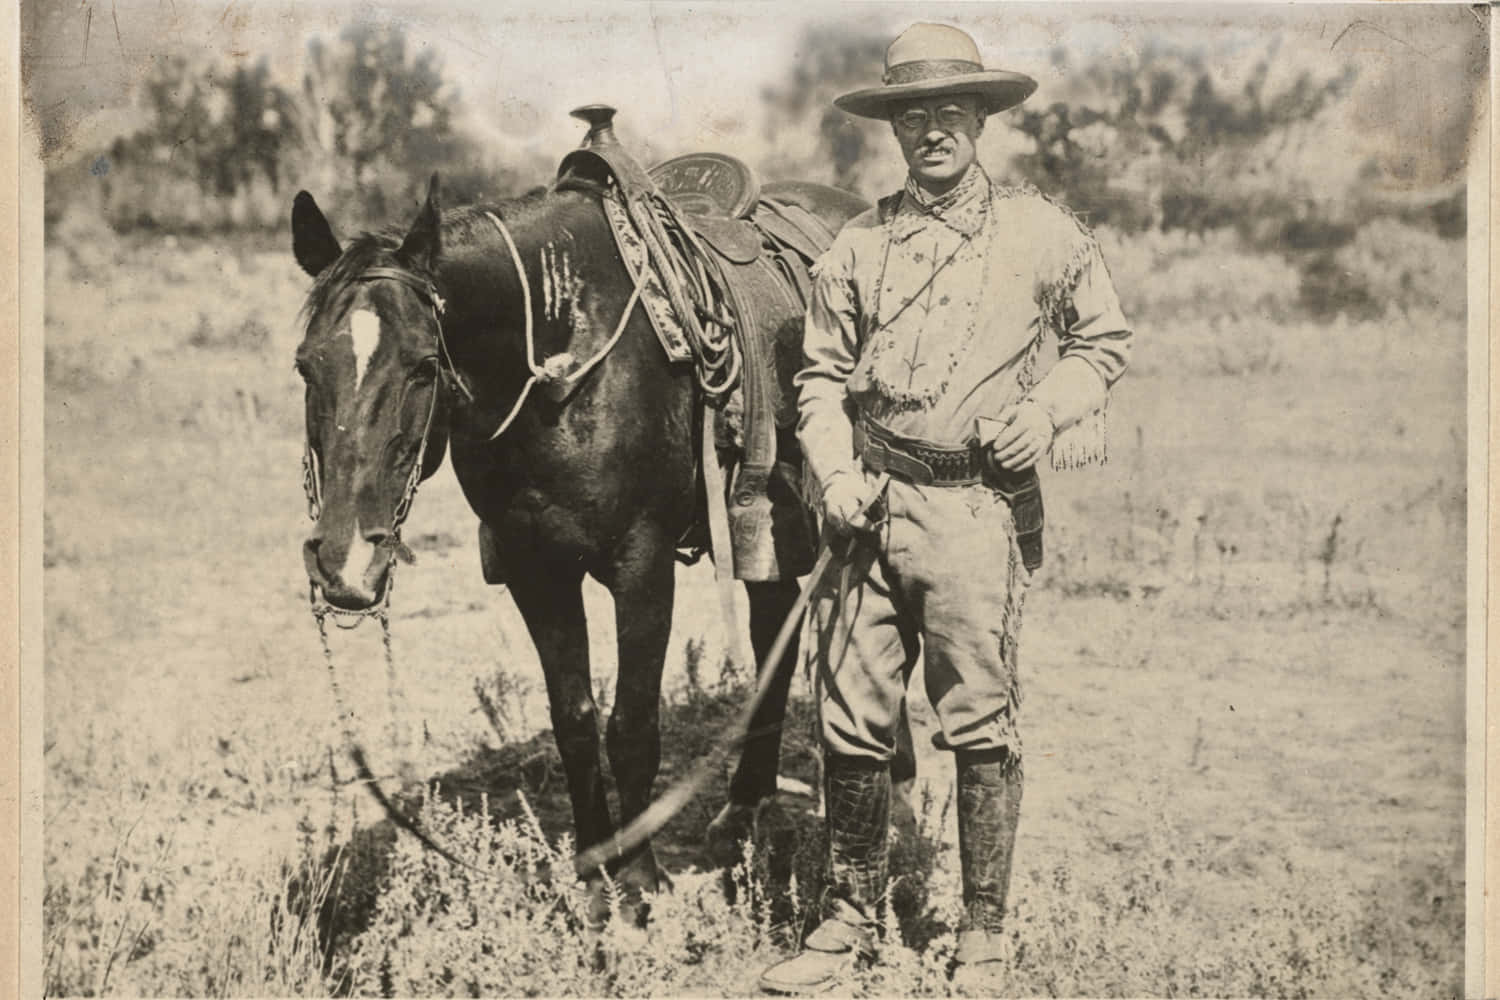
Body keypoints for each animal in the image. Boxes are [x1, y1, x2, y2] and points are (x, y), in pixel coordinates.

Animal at [291, 160, 875, 921]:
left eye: (422, 365)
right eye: (305, 366)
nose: (346, 564)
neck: (558, 356)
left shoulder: (642, 565)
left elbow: (631, 725)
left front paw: (641, 881)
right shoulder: (535, 570)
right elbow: (573, 721)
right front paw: (595, 876)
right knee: (774, 629)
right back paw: (745, 809)